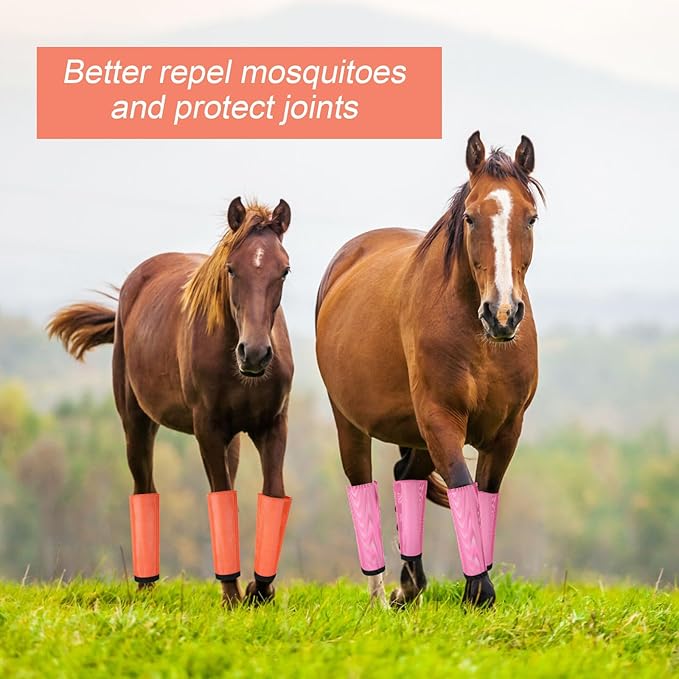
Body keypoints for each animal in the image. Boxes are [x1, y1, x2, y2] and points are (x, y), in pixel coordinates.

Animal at [48, 197, 294, 606]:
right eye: (231, 268)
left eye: (284, 270)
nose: (255, 354)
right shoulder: (207, 429)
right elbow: (219, 497)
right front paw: (233, 596)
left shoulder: (271, 426)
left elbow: (271, 494)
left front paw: (259, 590)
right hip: (136, 422)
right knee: (143, 487)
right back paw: (146, 585)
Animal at [315, 132, 544, 608]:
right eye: (471, 218)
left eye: (530, 218)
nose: (502, 313)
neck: (480, 341)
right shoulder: (441, 418)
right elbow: (461, 486)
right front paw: (479, 590)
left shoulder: (507, 429)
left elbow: (484, 494)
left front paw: (474, 587)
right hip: (351, 422)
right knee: (362, 484)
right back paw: (380, 597)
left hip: (416, 433)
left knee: (408, 478)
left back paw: (410, 585)